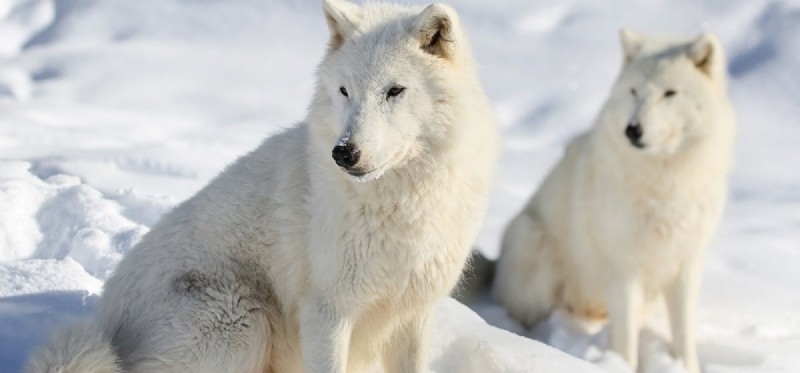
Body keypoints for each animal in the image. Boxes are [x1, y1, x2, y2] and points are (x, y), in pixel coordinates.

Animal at [494, 29, 736, 372]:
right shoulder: (624, 270)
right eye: (634, 92)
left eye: (670, 94)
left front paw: (687, 366)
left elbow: (684, 337)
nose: (632, 130)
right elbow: (626, 343)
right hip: (535, 250)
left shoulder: (685, 266)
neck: (664, 187)